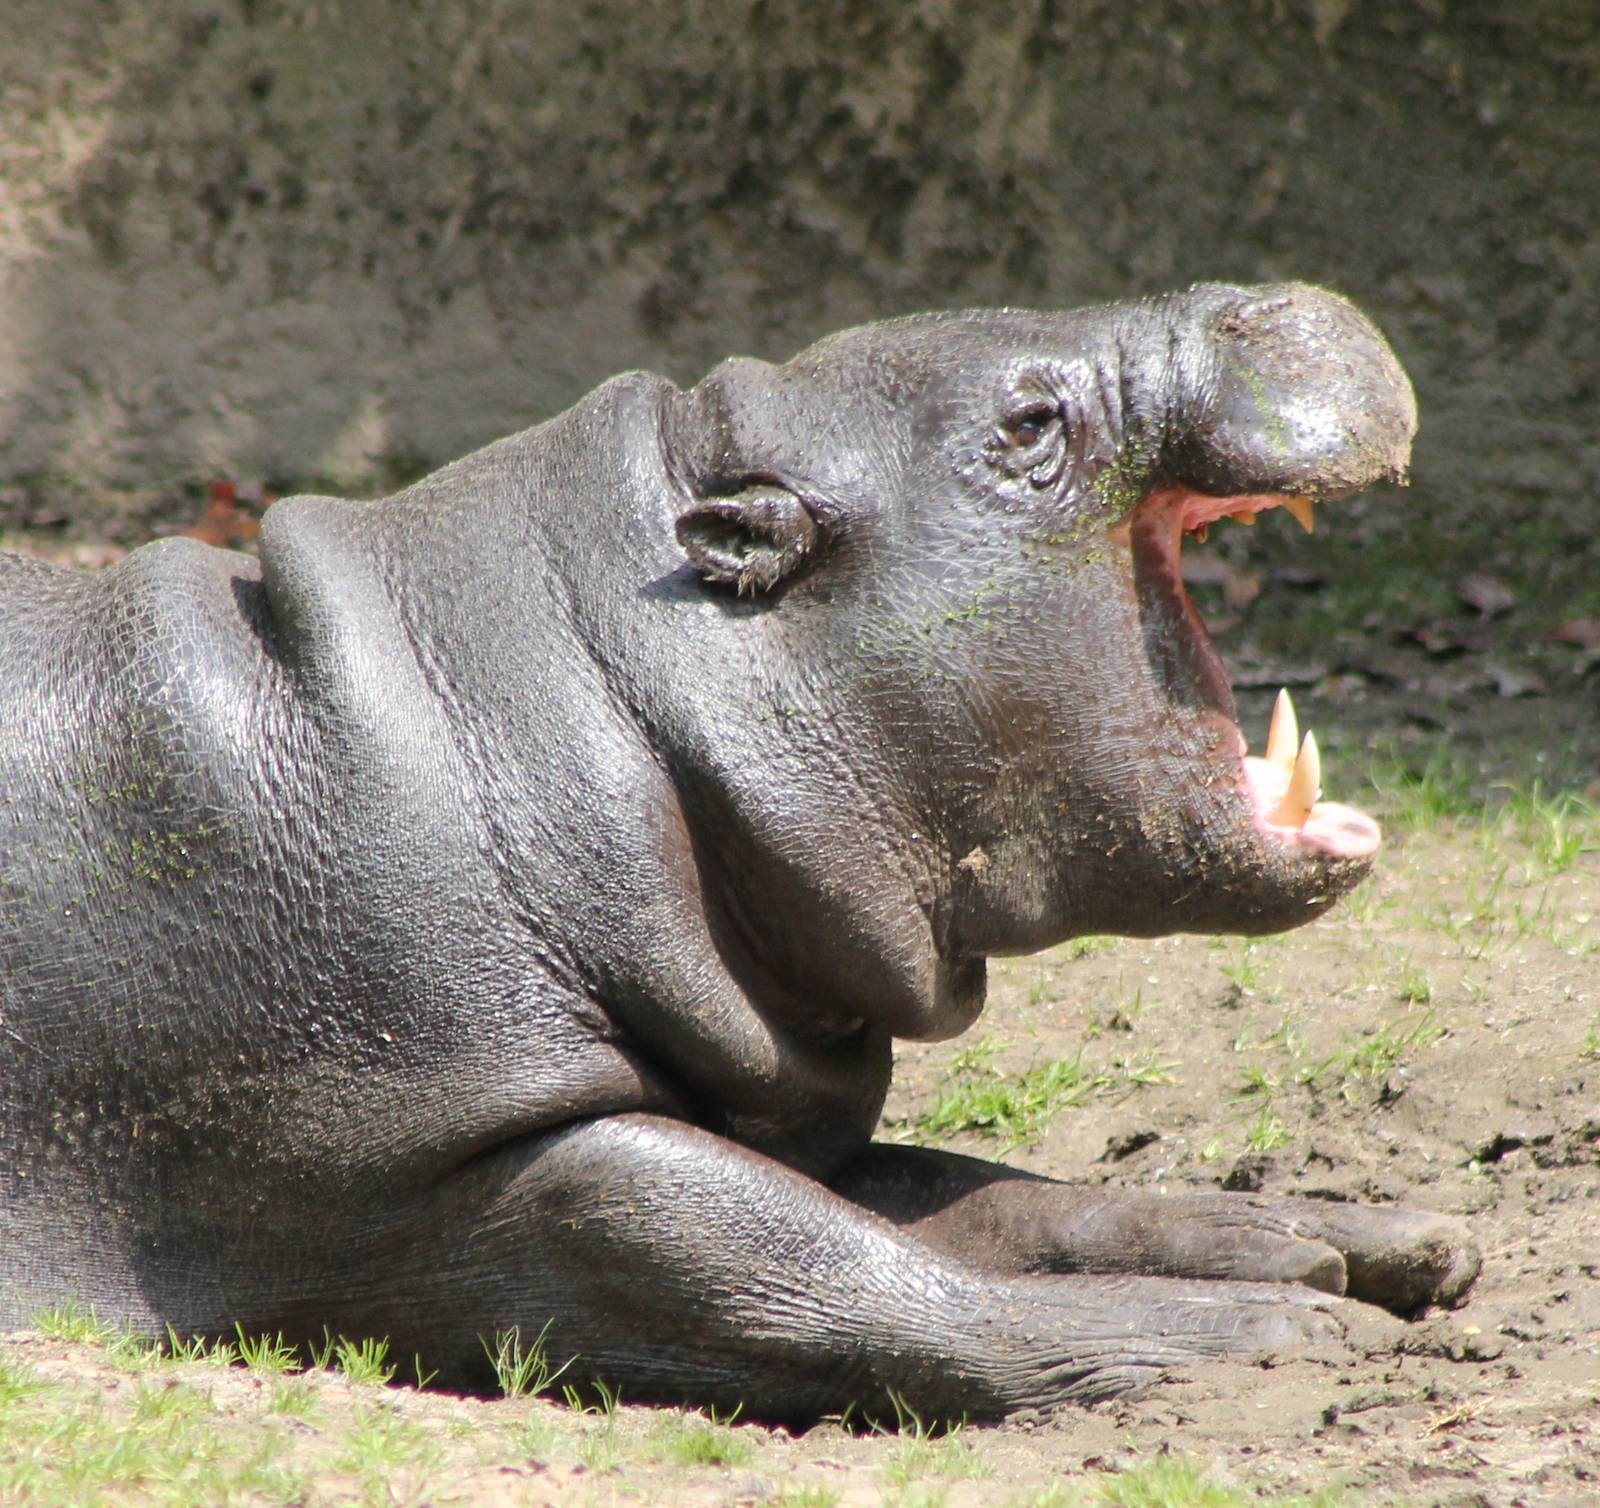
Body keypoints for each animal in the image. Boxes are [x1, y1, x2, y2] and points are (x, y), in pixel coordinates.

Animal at [0, 282, 1478, 1421]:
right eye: (1027, 424)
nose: (1271, 301)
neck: (607, 678)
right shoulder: (432, 1147)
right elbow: (813, 1266)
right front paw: (1298, 1330)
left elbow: (980, 1191)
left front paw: (1339, 1240)